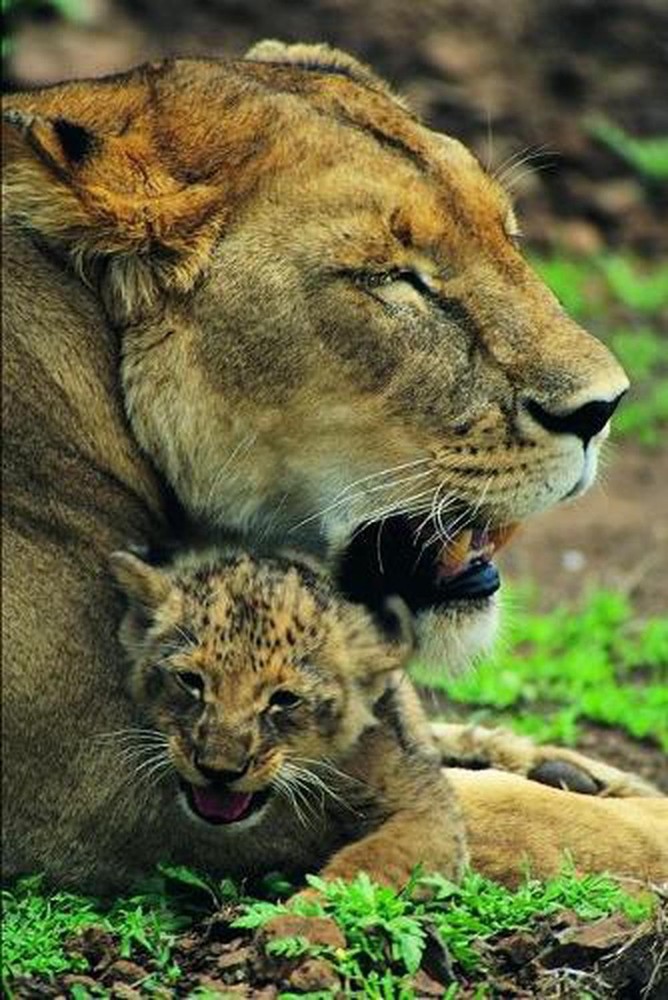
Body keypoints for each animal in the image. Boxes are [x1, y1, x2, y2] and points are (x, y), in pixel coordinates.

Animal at [3, 40, 666, 892]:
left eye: (507, 234)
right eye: (391, 278)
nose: (604, 407)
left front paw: (569, 765)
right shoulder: (97, 779)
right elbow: (511, 813)